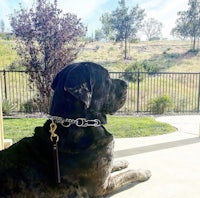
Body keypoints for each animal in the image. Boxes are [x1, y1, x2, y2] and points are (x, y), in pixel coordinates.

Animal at [0, 61, 150, 196]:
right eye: (107, 79)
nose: (126, 84)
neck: (80, 124)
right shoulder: (102, 186)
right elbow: (129, 174)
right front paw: (144, 172)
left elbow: (113, 164)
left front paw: (122, 161)